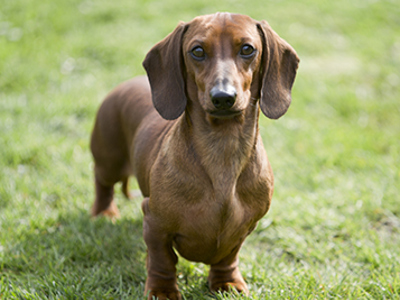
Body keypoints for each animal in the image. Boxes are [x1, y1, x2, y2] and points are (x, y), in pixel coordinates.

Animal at [90, 12, 296, 300]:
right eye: (197, 51)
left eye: (247, 49)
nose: (223, 97)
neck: (222, 149)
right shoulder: (155, 223)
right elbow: (162, 260)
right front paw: (162, 290)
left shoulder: (244, 228)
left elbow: (228, 256)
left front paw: (227, 282)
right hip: (108, 160)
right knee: (102, 182)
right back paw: (104, 213)